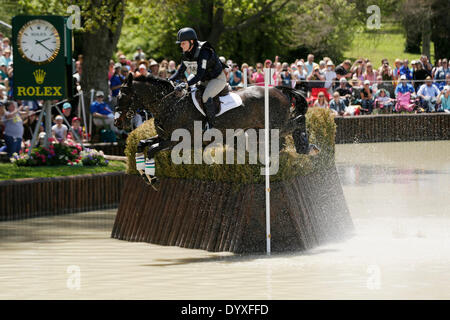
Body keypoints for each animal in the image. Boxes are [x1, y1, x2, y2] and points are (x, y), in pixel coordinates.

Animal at [116, 72, 320, 188]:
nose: (118, 122)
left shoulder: (177, 140)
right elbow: (141, 144)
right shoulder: (164, 137)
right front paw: (143, 174)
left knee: (299, 120)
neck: (170, 104)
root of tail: (278, 90)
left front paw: (152, 179)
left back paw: (306, 147)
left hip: (276, 126)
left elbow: (151, 149)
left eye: (123, 95)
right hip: (266, 128)